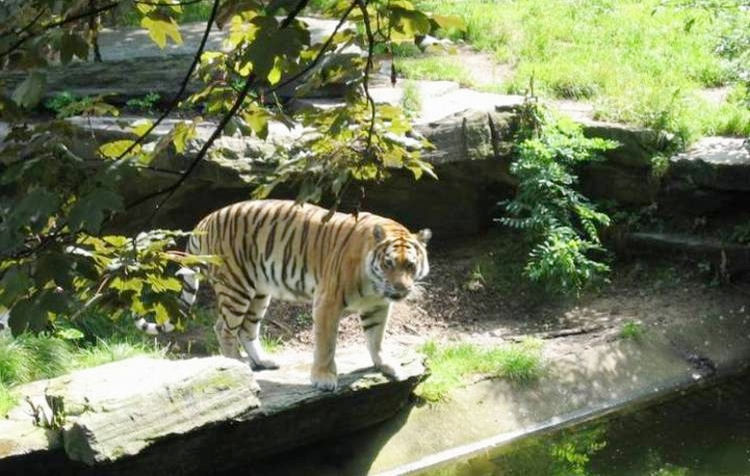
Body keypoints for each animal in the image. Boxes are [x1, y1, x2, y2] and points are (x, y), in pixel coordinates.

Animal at [136, 199, 431, 391]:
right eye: (389, 263)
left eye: (410, 265)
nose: (401, 289)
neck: (375, 285)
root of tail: (204, 221)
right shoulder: (328, 301)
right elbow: (326, 345)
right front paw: (324, 378)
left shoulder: (377, 306)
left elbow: (376, 338)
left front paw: (385, 365)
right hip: (235, 288)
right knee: (224, 328)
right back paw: (237, 367)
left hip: (258, 291)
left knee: (247, 329)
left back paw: (262, 361)